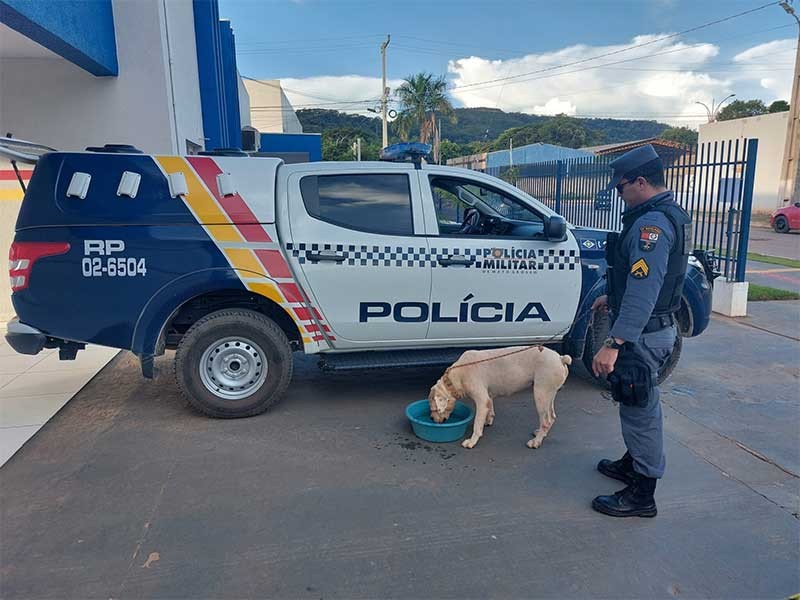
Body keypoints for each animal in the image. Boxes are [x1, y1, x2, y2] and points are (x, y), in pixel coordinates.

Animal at [432, 344, 568, 448]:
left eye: (434, 409)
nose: (433, 420)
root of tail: (560, 358)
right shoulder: (488, 395)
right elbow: (490, 407)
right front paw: (488, 420)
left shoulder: (481, 399)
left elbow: (477, 423)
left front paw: (472, 441)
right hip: (549, 394)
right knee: (552, 417)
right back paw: (540, 433)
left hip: (540, 394)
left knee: (546, 420)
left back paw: (536, 442)